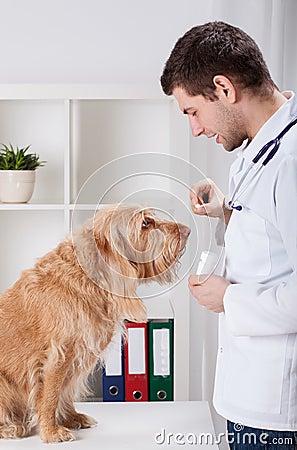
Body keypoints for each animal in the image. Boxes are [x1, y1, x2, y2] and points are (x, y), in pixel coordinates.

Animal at [0, 204, 190, 442]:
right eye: (146, 222)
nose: (187, 231)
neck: (87, 277)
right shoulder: (58, 355)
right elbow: (51, 396)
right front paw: (51, 431)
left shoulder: (77, 356)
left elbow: (66, 391)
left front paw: (71, 417)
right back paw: (10, 427)